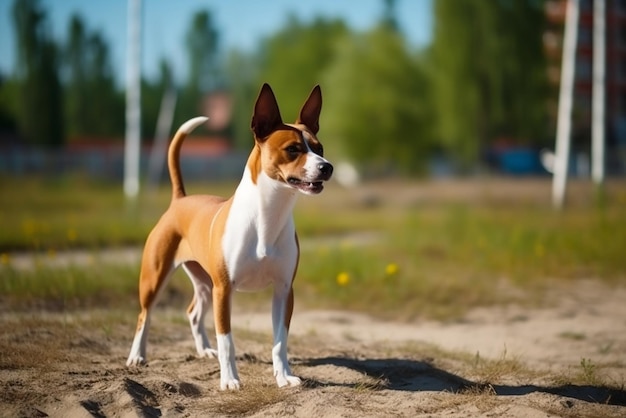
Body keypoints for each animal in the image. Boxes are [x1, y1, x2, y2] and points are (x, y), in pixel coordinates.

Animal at [125, 83, 332, 390]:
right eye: (293, 149)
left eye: (319, 148)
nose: (326, 167)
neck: (267, 217)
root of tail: (180, 199)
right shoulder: (224, 290)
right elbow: (227, 341)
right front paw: (230, 380)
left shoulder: (284, 290)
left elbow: (279, 341)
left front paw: (283, 376)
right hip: (156, 278)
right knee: (144, 315)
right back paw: (137, 356)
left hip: (204, 283)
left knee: (193, 312)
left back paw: (203, 350)